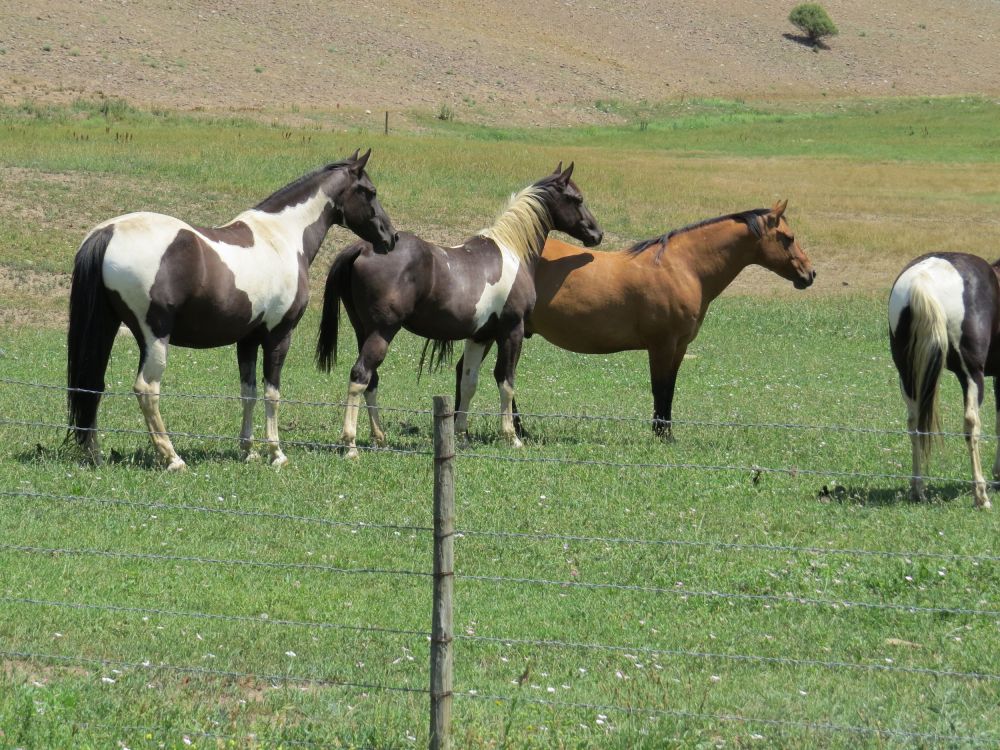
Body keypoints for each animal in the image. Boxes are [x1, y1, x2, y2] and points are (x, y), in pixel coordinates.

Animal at [67, 149, 397, 470]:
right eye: (370, 192)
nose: (390, 237)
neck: (281, 238)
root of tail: (108, 232)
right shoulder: (278, 335)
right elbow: (272, 393)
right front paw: (276, 453)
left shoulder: (247, 340)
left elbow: (247, 392)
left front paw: (248, 451)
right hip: (154, 336)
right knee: (147, 389)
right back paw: (172, 458)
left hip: (106, 327)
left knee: (93, 384)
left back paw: (94, 455)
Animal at [315, 163, 603, 458]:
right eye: (577, 199)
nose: (597, 234)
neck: (511, 252)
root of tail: (362, 247)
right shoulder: (511, 330)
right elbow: (506, 381)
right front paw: (511, 436)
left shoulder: (480, 336)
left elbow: (468, 382)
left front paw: (462, 435)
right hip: (382, 332)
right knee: (360, 375)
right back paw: (350, 445)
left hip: (363, 331)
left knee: (371, 380)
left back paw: (379, 437)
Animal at [454, 200, 815, 438]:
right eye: (787, 237)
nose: (809, 274)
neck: (682, 266)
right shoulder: (662, 345)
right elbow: (660, 389)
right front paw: (661, 436)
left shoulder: (679, 347)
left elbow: (670, 390)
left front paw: (666, 433)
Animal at [888, 252, 1000, 509]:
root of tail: (922, 280)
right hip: (971, 376)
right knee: (971, 424)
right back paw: (981, 496)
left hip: (908, 377)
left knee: (914, 424)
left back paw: (917, 489)